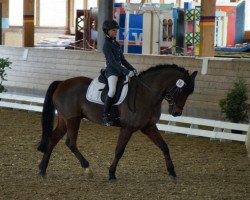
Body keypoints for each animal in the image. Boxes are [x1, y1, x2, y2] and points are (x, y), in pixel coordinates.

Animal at [37, 64, 197, 181]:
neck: (146, 94)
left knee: (53, 139)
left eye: (189, 93)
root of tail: (62, 83)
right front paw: (112, 173)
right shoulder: (127, 128)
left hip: (64, 120)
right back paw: (87, 169)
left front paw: (172, 172)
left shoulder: (149, 127)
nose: (176, 113)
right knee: (70, 143)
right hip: (73, 120)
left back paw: (42, 169)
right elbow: (119, 150)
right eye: (181, 90)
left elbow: (164, 147)